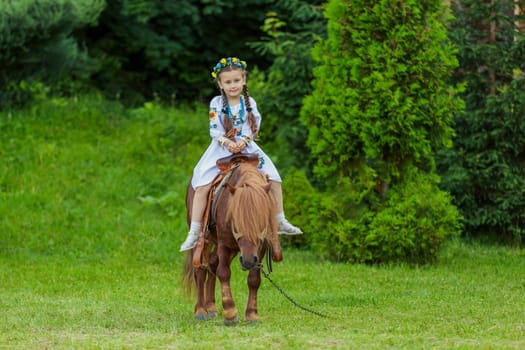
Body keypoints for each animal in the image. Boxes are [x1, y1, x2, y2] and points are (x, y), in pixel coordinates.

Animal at [182, 160, 278, 324]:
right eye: (236, 222)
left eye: (261, 222)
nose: (247, 261)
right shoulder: (224, 244)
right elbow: (224, 272)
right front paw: (230, 313)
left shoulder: (260, 248)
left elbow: (254, 279)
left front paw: (252, 314)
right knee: (200, 269)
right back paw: (200, 310)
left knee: (212, 264)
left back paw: (211, 307)